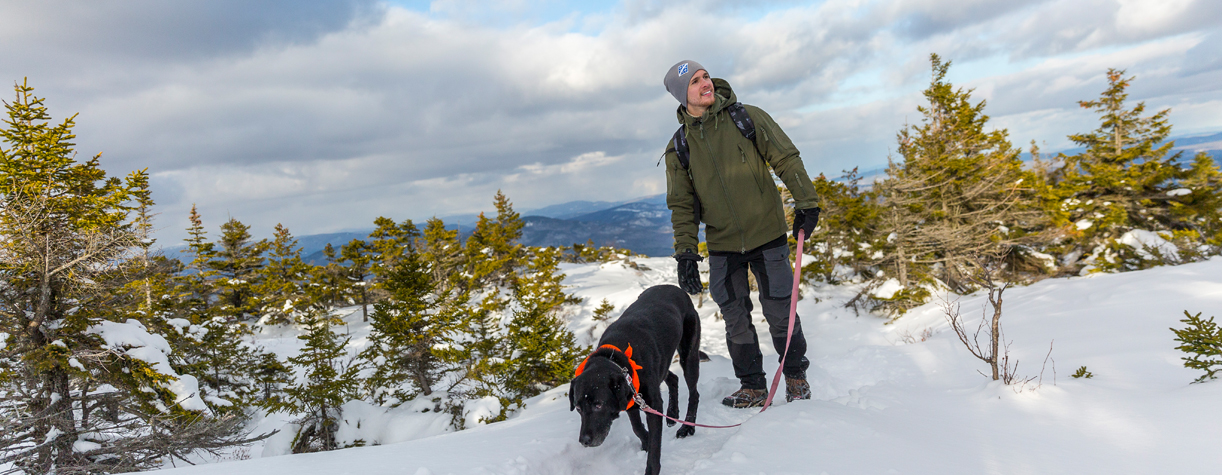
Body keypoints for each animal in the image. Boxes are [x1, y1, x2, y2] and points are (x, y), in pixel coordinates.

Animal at [569, 283, 703, 471]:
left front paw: (651, 465)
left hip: (688, 355)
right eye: (578, 408)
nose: (584, 441)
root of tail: (675, 288)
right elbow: (637, 427)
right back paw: (672, 413)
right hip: (662, 365)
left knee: (694, 393)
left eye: (598, 405)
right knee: (673, 378)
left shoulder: (652, 403)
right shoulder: (631, 398)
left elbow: (655, 443)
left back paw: (687, 428)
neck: (616, 359)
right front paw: (645, 440)